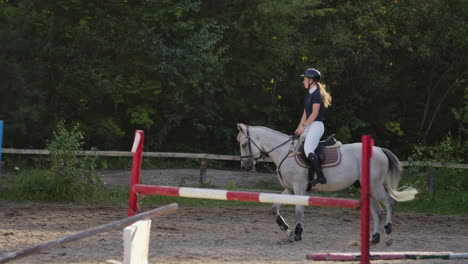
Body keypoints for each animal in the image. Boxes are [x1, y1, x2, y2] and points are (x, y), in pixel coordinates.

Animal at [236, 124, 418, 243]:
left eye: (244, 144)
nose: (245, 166)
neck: (285, 153)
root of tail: (380, 149)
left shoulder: (299, 188)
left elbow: (299, 212)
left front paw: (297, 234)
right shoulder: (289, 189)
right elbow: (275, 207)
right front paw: (285, 228)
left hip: (375, 186)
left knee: (390, 202)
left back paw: (388, 228)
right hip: (367, 188)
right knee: (377, 211)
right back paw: (375, 237)